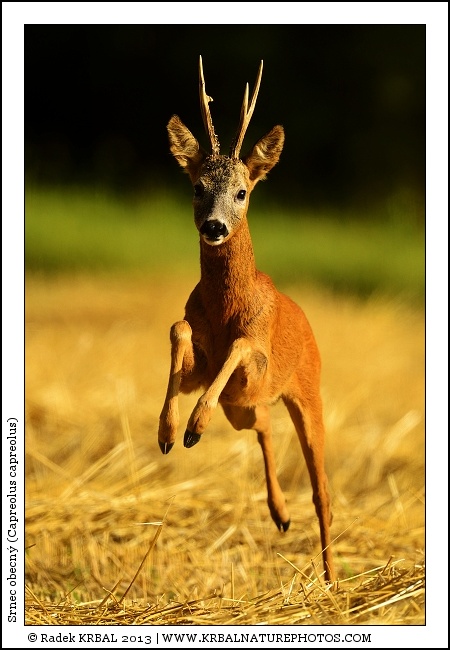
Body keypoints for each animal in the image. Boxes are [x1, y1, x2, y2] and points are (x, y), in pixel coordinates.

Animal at [158, 56, 335, 584]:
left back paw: (332, 581)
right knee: (263, 426)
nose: (214, 226)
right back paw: (280, 515)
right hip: (242, 410)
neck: (225, 308)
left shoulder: (252, 363)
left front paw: (191, 424)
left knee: (322, 492)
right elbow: (179, 329)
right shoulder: (202, 363)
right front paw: (171, 432)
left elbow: (242, 345)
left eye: (241, 191)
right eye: (197, 187)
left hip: (308, 394)